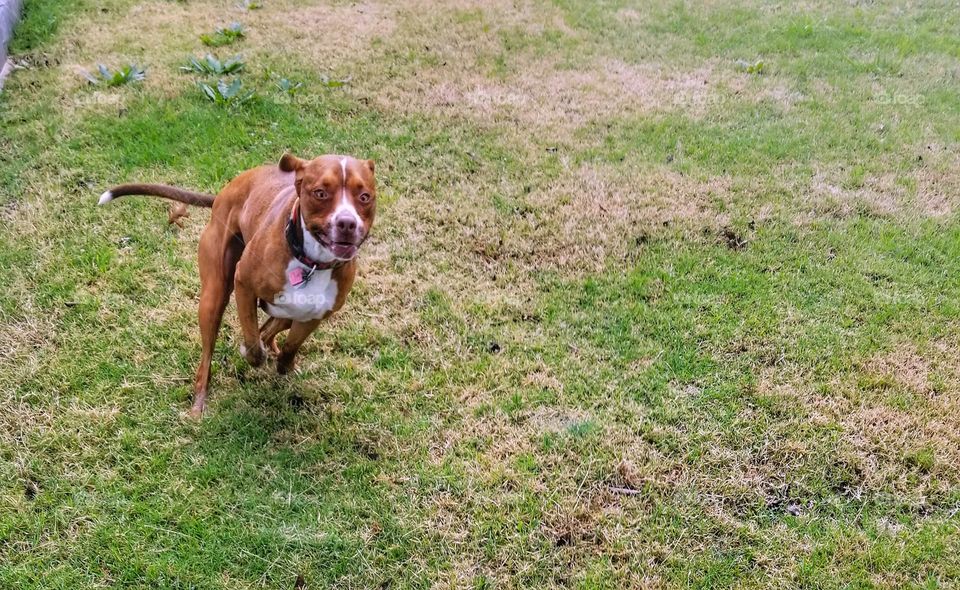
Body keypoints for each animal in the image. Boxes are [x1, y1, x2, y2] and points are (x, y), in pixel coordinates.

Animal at [99, 155, 376, 418]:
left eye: (365, 197)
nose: (347, 223)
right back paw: (198, 404)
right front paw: (253, 353)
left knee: (272, 329)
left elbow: (290, 347)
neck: (312, 263)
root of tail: (224, 192)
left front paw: (283, 362)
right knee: (208, 355)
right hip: (214, 295)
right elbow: (253, 344)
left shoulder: (316, 314)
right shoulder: (243, 284)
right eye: (320, 193)